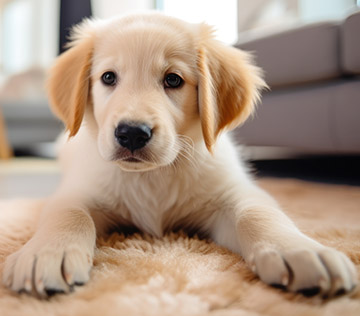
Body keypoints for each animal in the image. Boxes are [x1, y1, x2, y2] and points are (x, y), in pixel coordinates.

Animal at [2, 12, 358, 298]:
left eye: (173, 79)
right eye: (108, 77)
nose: (132, 133)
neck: (151, 177)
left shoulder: (231, 191)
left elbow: (258, 213)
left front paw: (299, 249)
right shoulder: (78, 190)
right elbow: (69, 214)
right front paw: (48, 252)